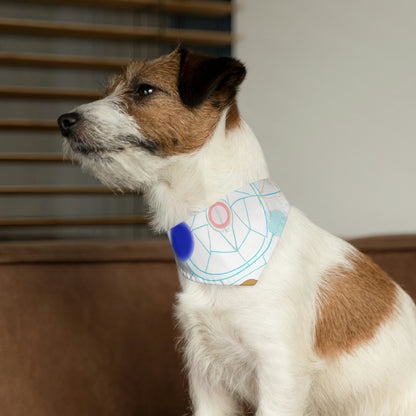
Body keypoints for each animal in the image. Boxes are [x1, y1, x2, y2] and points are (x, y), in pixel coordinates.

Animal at [57, 47, 416, 414]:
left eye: (144, 89)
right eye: (110, 90)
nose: (64, 121)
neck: (214, 231)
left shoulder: (280, 372)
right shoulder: (206, 375)